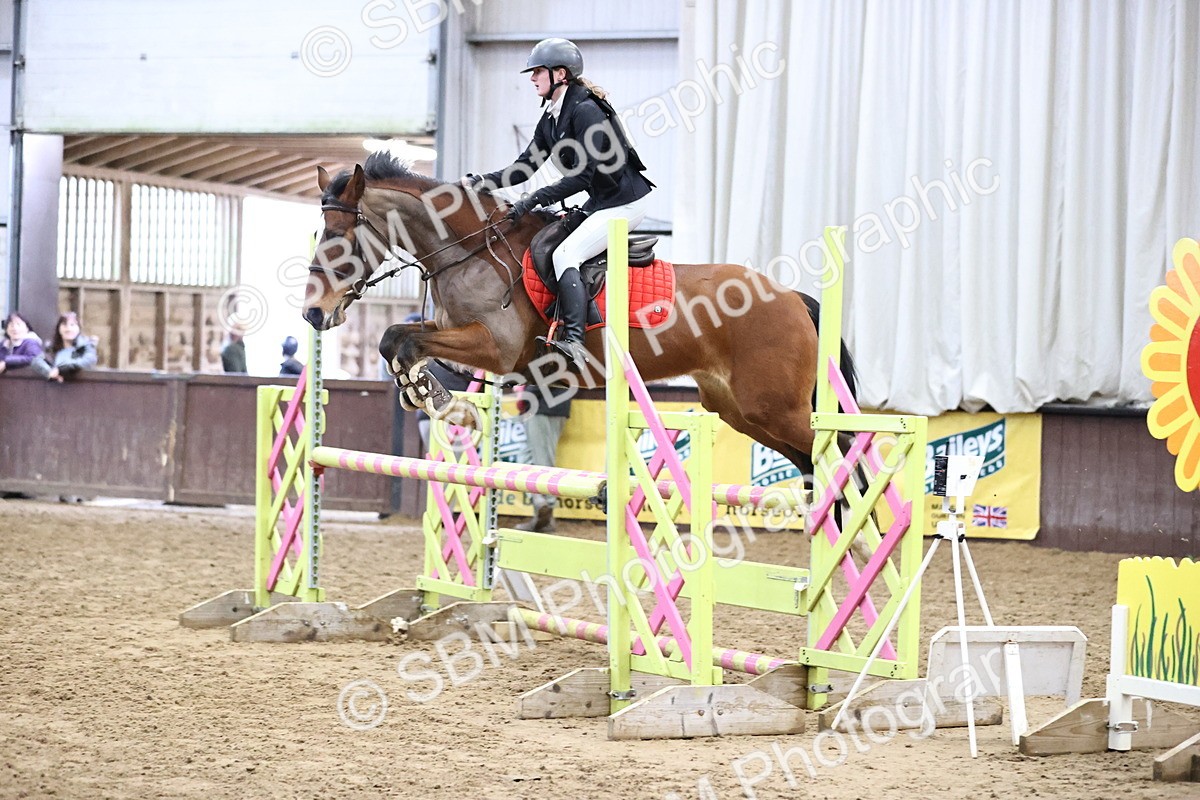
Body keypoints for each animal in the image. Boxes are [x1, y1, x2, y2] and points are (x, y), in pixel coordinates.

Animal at [303, 152, 856, 475]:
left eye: (339, 238)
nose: (313, 314)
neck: (470, 250)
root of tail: (792, 298)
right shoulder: (450, 330)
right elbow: (395, 338)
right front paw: (432, 395)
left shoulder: (496, 349)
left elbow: (407, 342)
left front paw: (438, 400)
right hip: (738, 409)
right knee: (812, 460)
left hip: (774, 408)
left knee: (841, 449)